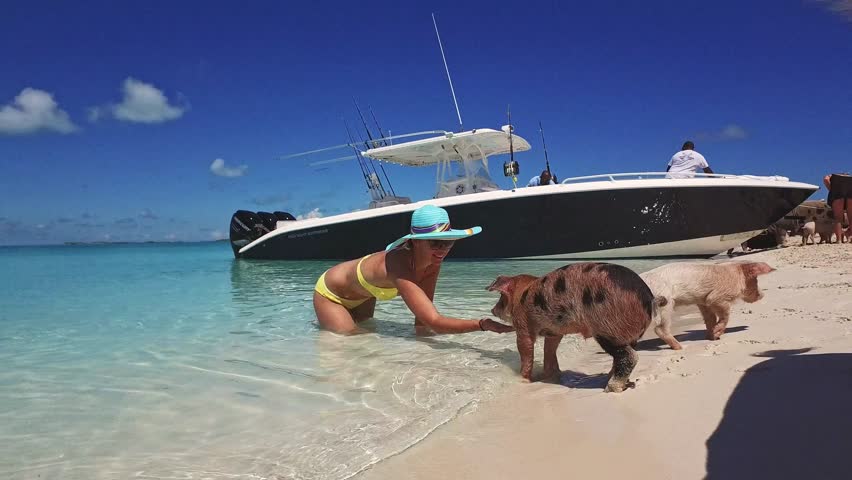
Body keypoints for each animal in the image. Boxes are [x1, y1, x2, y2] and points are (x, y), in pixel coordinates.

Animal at [486, 262, 665, 393]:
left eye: (501, 299)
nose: (492, 310)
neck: (521, 296)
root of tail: (648, 298)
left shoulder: (523, 326)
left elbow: (525, 352)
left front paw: (523, 380)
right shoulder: (553, 332)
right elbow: (549, 350)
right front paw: (550, 376)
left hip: (608, 328)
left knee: (630, 356)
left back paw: (610, 388)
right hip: (628, 333)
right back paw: (606, 379)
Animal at [640, 261, 775, 350]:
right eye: (755, 280)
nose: (763, 294)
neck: (736, 275)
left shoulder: (702, 301)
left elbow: (710, 318)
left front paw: (712, 337)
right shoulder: (716, 297)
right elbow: (725, 314)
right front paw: (717, 333)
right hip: (665, 303)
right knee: (660, 328)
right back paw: (680, 347)